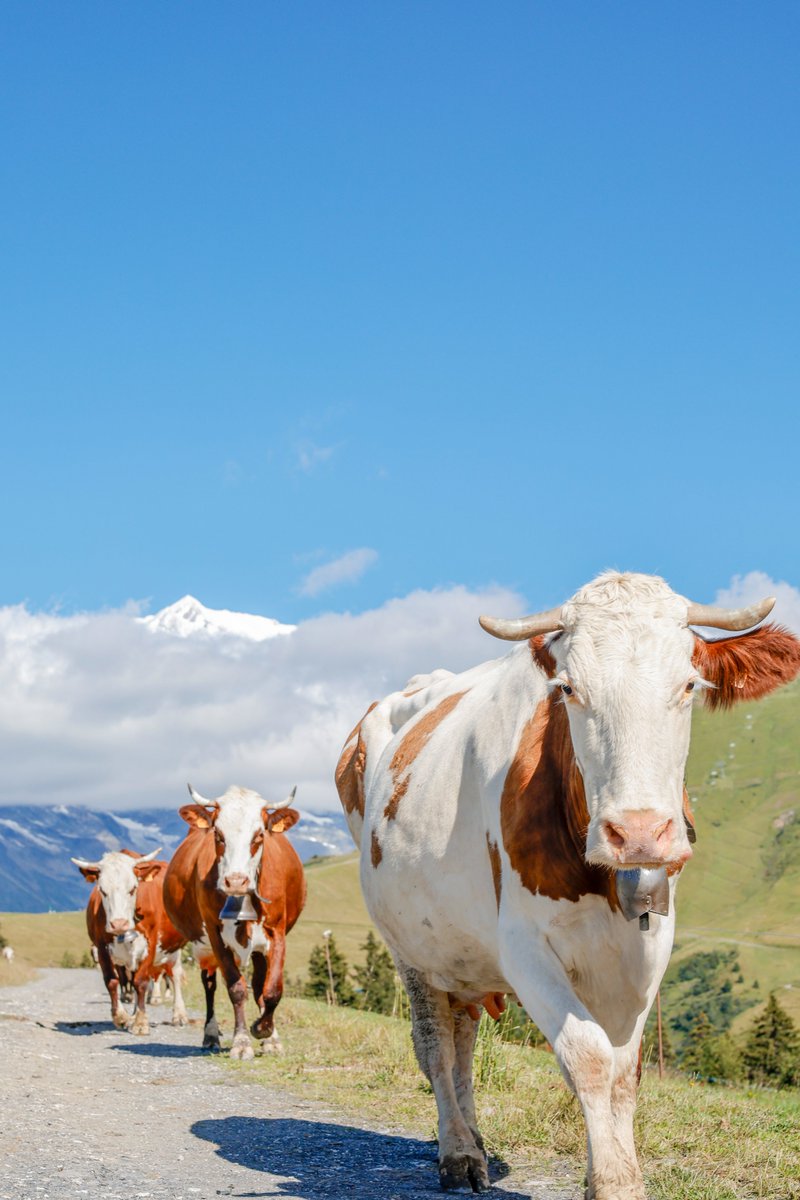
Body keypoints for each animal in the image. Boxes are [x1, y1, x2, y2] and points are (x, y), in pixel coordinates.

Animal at [72, 848, 188, 1034]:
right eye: (102, 890)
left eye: (133, 888)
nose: (119, 923)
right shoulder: (102, 948)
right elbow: (112, 981)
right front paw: (122, 1016)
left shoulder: (151, 945)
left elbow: (141, 982)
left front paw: (140, 1022)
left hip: (173, 948)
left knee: (175, 975)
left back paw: (179, 1015)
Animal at [163, 784, 306, 1059]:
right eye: (218, 835)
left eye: (259, 835)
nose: (236, 881)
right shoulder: (215, 936)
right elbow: (235, 988)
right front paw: (241, 1041)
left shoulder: (277, 932)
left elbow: (272, 989)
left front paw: (265, 1031)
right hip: (203, 947)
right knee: (209, 984)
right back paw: (210, 1035)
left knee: (259, 984)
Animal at [336, 572, 800, 1199]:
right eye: (570, 689)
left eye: (688, 685)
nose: (637, 832)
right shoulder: (523, 947)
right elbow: (589, 1057)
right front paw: (615, 1182)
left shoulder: (650, 942)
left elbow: (625, 1071)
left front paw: (608, 1172)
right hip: (410, 948)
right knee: (435, 1047)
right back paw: (458, 1152)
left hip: (460, 952)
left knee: (462, 1041)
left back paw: (474, 1141)